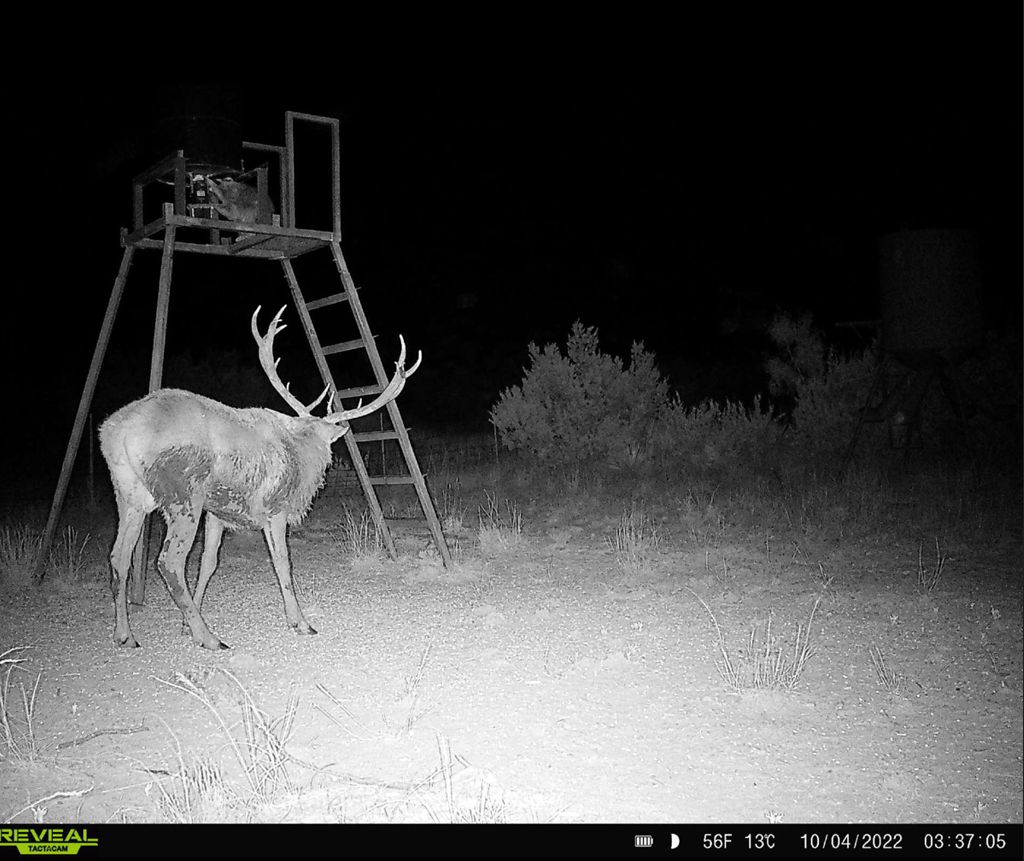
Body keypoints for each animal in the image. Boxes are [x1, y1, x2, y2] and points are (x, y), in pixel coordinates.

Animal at [99, 306, 421, 651]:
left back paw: (125, 635)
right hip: (182, 494)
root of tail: (118, 431)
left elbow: (208, 563)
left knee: (119, 556)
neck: (301, 452)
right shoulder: (274, 508)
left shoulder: (217, 512)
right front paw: (300, 622)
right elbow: (282, 563)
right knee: (168, 561)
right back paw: (210, 638)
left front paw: (187, 624)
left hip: (129, 494)